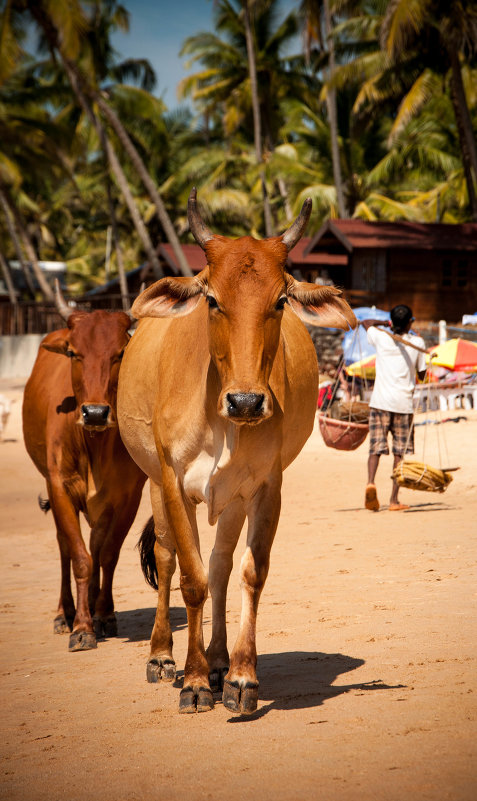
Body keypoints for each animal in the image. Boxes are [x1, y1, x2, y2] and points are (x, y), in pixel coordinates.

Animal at [22, 284, 145, 652]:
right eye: (74, 353)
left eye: (120, 353)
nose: (95, 413)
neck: (93, 445)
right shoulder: (59, 487)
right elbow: (79, 557)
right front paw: (81, 627)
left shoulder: (128, 496)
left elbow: (107, 554)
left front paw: (103, 615)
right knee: (65, 546)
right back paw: (65, 613)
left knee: (96, 546)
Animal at [118, 191, 356, 716]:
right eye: (212, 299)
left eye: (280, 300)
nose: (246, 402)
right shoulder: (173, 480)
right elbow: (190, 578)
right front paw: (193, 682)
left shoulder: (266, 486)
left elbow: (249, 572)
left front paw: (240, 677)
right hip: (154, 482)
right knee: (167, 557)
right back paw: (163, 656)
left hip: (231, 500)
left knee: (221, 566)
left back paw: (218, 659)